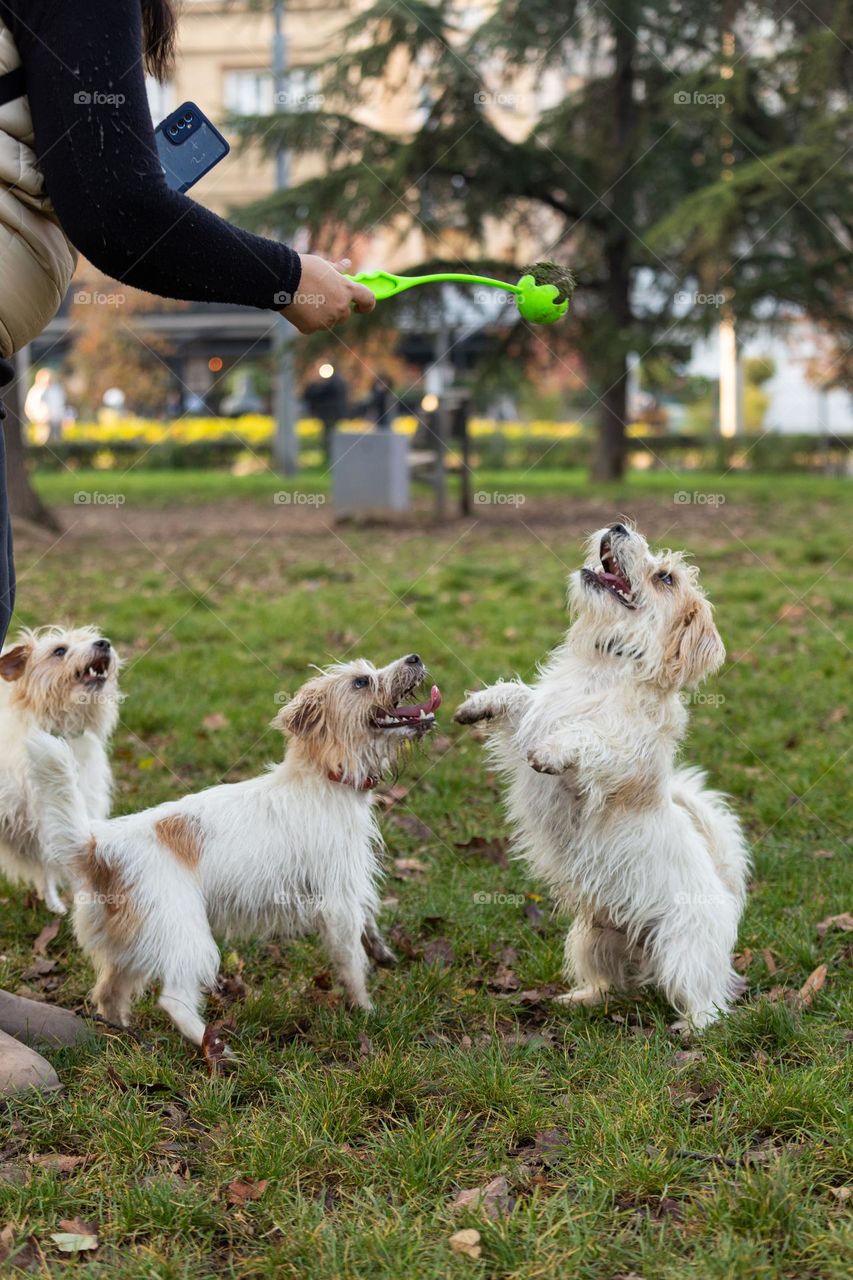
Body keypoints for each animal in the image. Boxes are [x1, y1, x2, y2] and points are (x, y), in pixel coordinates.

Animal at [26, 655, 438, 1044]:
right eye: (361, 682)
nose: (415, 658)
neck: (324, 776)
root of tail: (98, 846)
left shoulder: (352, 887)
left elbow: (368, 924)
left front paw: (382, 953)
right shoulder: (337, 902)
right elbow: (352, 962)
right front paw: (366, 1010)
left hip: (129, 946)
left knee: (108, 992)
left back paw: (123, 1032)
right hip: (185, 937)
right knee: (173, 999)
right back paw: (217, 1049)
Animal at [455, 522, 747, 1029]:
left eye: (666, 577)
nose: (618, 526)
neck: (609, 664)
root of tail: (727, 898)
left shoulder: (618, 759)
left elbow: (587, 736)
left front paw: (552, 750)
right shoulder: (534, 717)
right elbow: (520, 698)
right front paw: (479, 704)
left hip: (683, 953)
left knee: (708, 1001)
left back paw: (690, 1028)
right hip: (591, 938)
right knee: (612, 984)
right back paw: (578, 999)